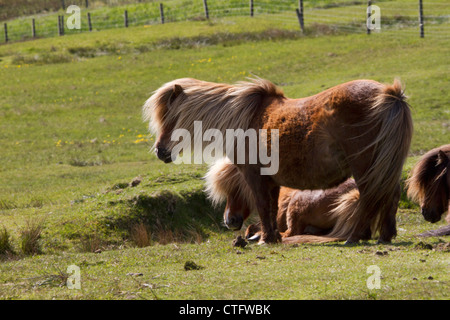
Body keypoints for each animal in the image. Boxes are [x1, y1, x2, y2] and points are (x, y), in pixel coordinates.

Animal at [143, 77, 412, 242]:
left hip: (366, 166)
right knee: (390, 194)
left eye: (169, 117)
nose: (160, 151)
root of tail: (389, 95)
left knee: (369, 197)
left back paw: (355, 237)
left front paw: (266, 239)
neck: (243, 121)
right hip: (385, 166)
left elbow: (263, 207)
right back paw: (384, 235)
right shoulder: (272, 181)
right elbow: (271, 209)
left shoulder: (255, 178)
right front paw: (272, 238)